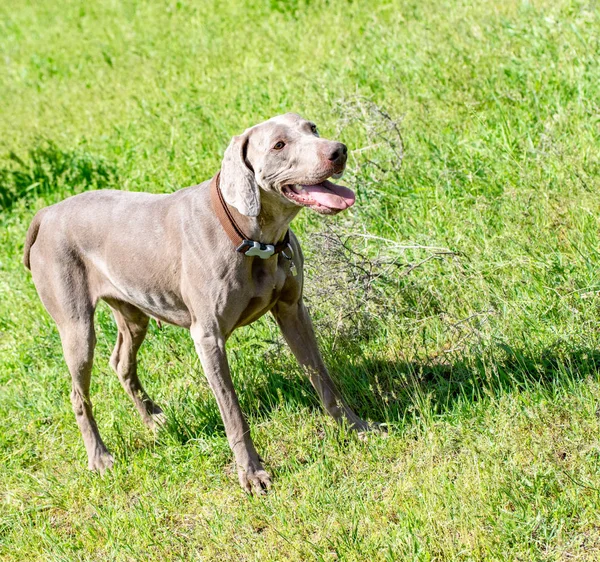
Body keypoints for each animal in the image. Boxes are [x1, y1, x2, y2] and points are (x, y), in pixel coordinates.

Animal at [24, 112, 376, 490]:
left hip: (134, 312)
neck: (253, 239)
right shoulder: (208, 338)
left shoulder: (293, 311)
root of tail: (46, 212)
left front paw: (358, 428)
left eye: (312, 129)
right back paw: (100, 458)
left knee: (120, 362)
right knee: (78, 394)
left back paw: (153, 419)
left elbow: (323, 379)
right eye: (279, 145)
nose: (338, 151)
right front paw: (251, 474)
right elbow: (233, 411)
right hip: (76, 327)